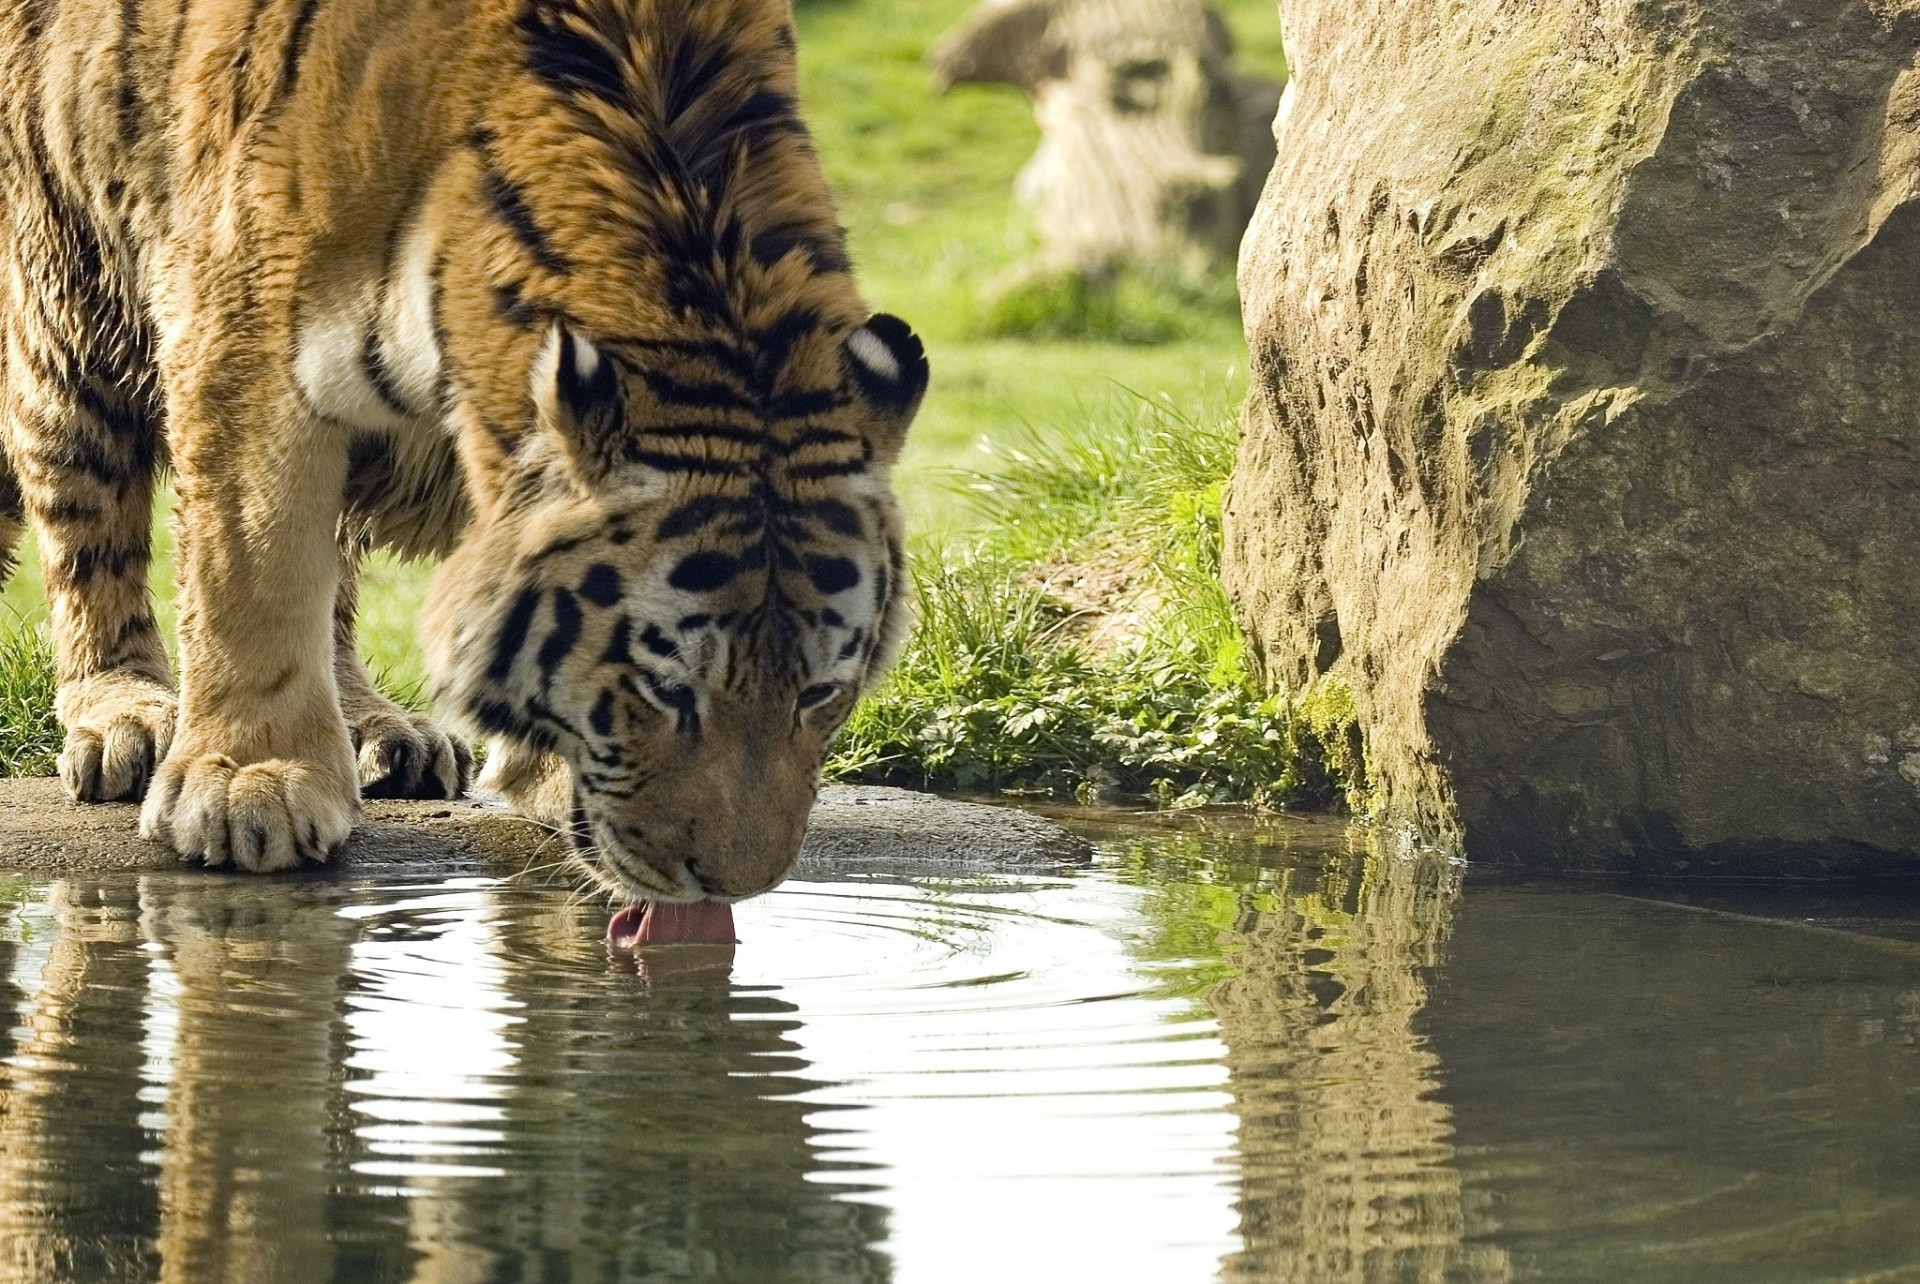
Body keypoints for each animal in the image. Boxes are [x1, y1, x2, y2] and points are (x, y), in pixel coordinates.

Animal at [0, 0, 927, 919]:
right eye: (666, 687)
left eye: (819, 692)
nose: (732, 888)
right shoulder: (243, 327)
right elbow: (254, 571)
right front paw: (249, 782)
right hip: (69, 306)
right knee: (90, 533)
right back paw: (126, 715)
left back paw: (383, 731)